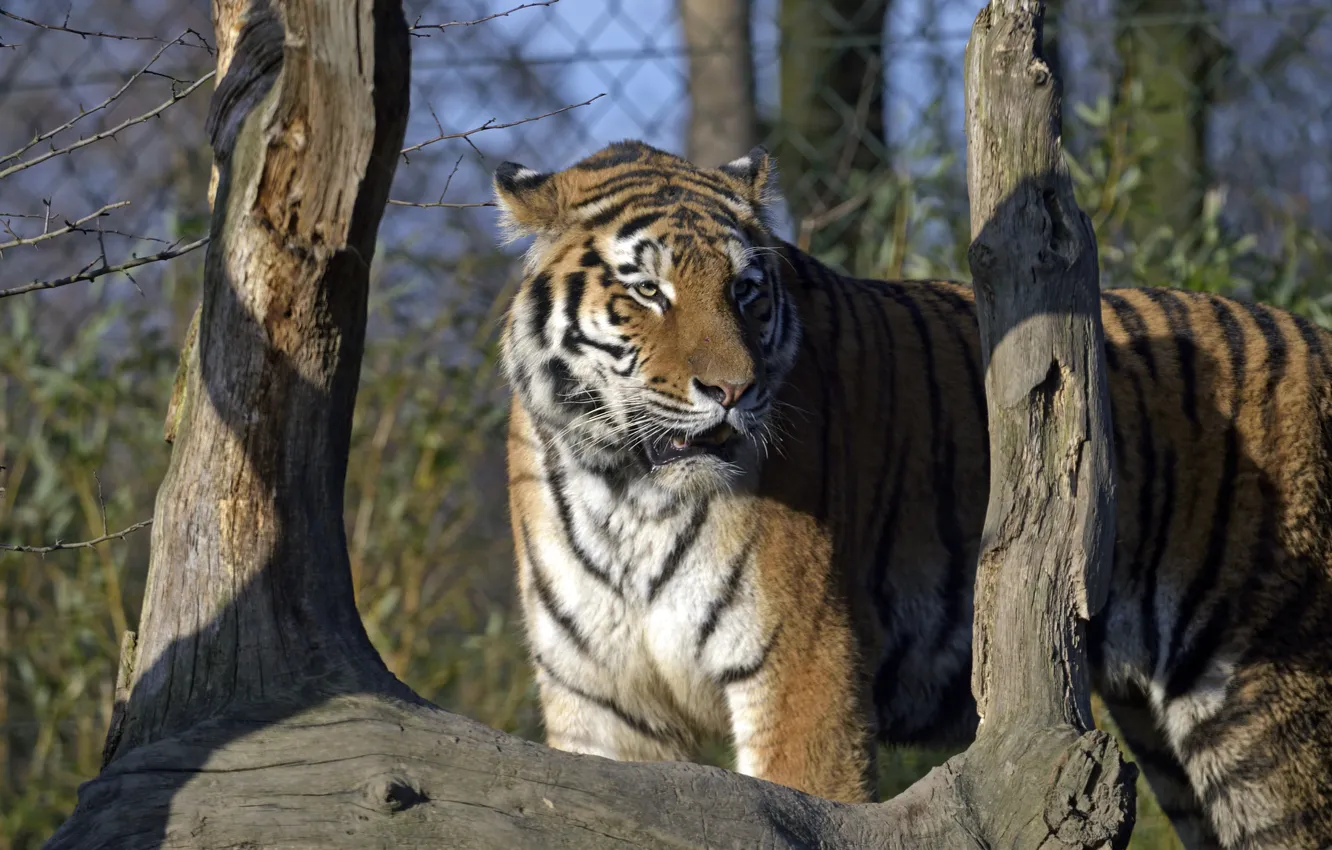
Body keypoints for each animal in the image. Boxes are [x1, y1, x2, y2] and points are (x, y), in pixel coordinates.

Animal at [493, 138, 1332, 849]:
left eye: (746, 291)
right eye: (646, 290)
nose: (734, 390)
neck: (626, 490)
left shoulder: (804, 669)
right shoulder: (603, 704)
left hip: (1263, 705)